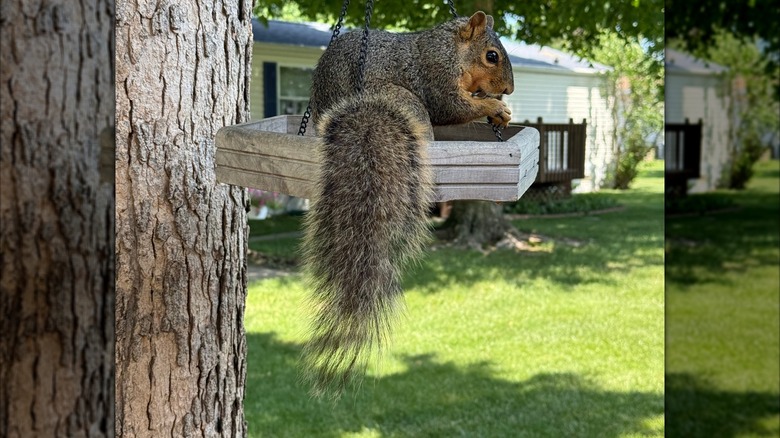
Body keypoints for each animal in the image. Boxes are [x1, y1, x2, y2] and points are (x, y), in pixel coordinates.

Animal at [301, 11, 514, 395]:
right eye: (491, 56)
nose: (508, 90)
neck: (450, 48)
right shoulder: (435, 75)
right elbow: (453, 107)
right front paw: (493, 106)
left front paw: (501, 113)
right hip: (407, 102)